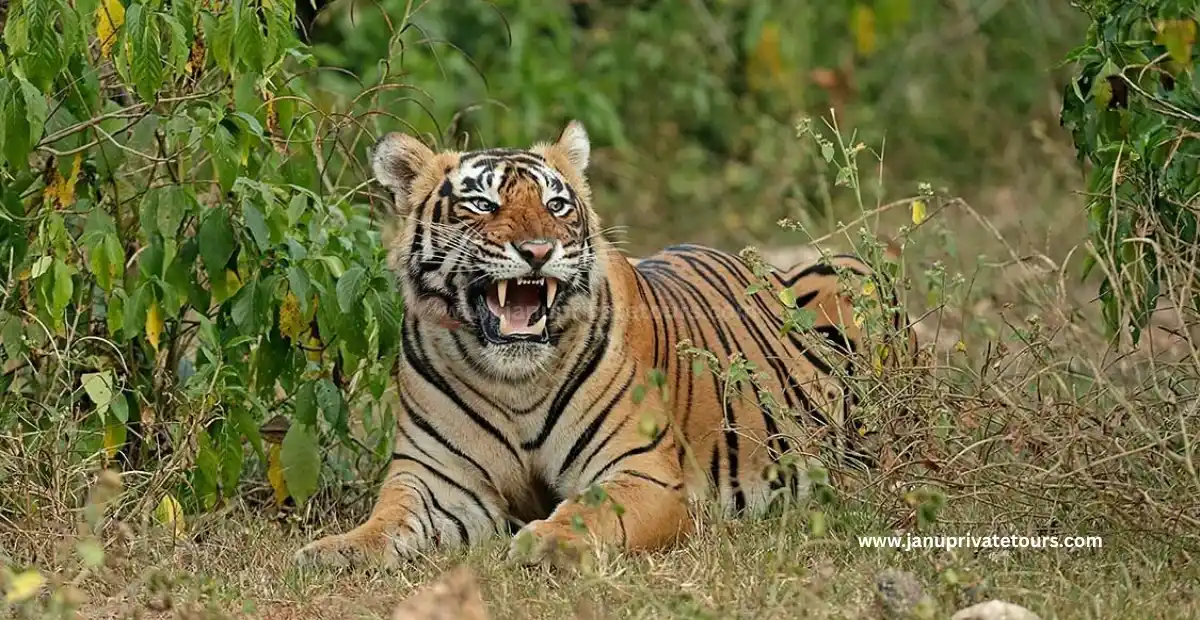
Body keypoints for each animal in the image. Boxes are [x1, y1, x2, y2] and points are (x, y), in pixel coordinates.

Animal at [293, 121, 915, 569]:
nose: (538, 250)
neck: (513, 379)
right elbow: (389, 520)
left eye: (556, 205)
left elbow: (591, 510)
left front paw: (544, 542)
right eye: (483, 204)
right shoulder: (435, 479)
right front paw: (335, 550)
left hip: (846, 276)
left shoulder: (640, 471)